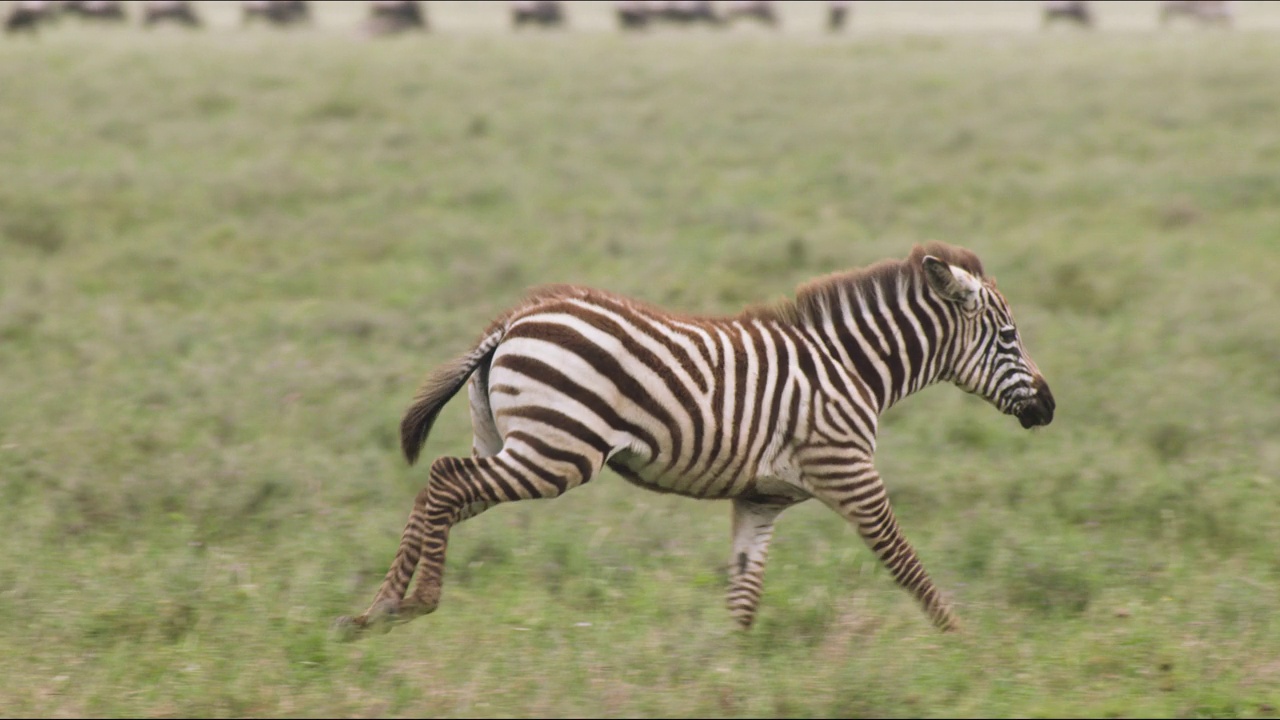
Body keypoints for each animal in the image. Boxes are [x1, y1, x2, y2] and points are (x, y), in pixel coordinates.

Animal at [335, 243, 1054, 635]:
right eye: (1010, 337)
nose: (1048, 408)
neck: (852, 369)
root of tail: (510, 322)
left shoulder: (761, 500)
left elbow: (743, 593)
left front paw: (730, 673)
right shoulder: (850, 474)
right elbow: (906, 564)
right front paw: (962, 641)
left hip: (517, 446)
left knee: (441, 490)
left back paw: (375, 611)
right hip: (556, 451)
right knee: (444, 479)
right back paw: (416, 601)